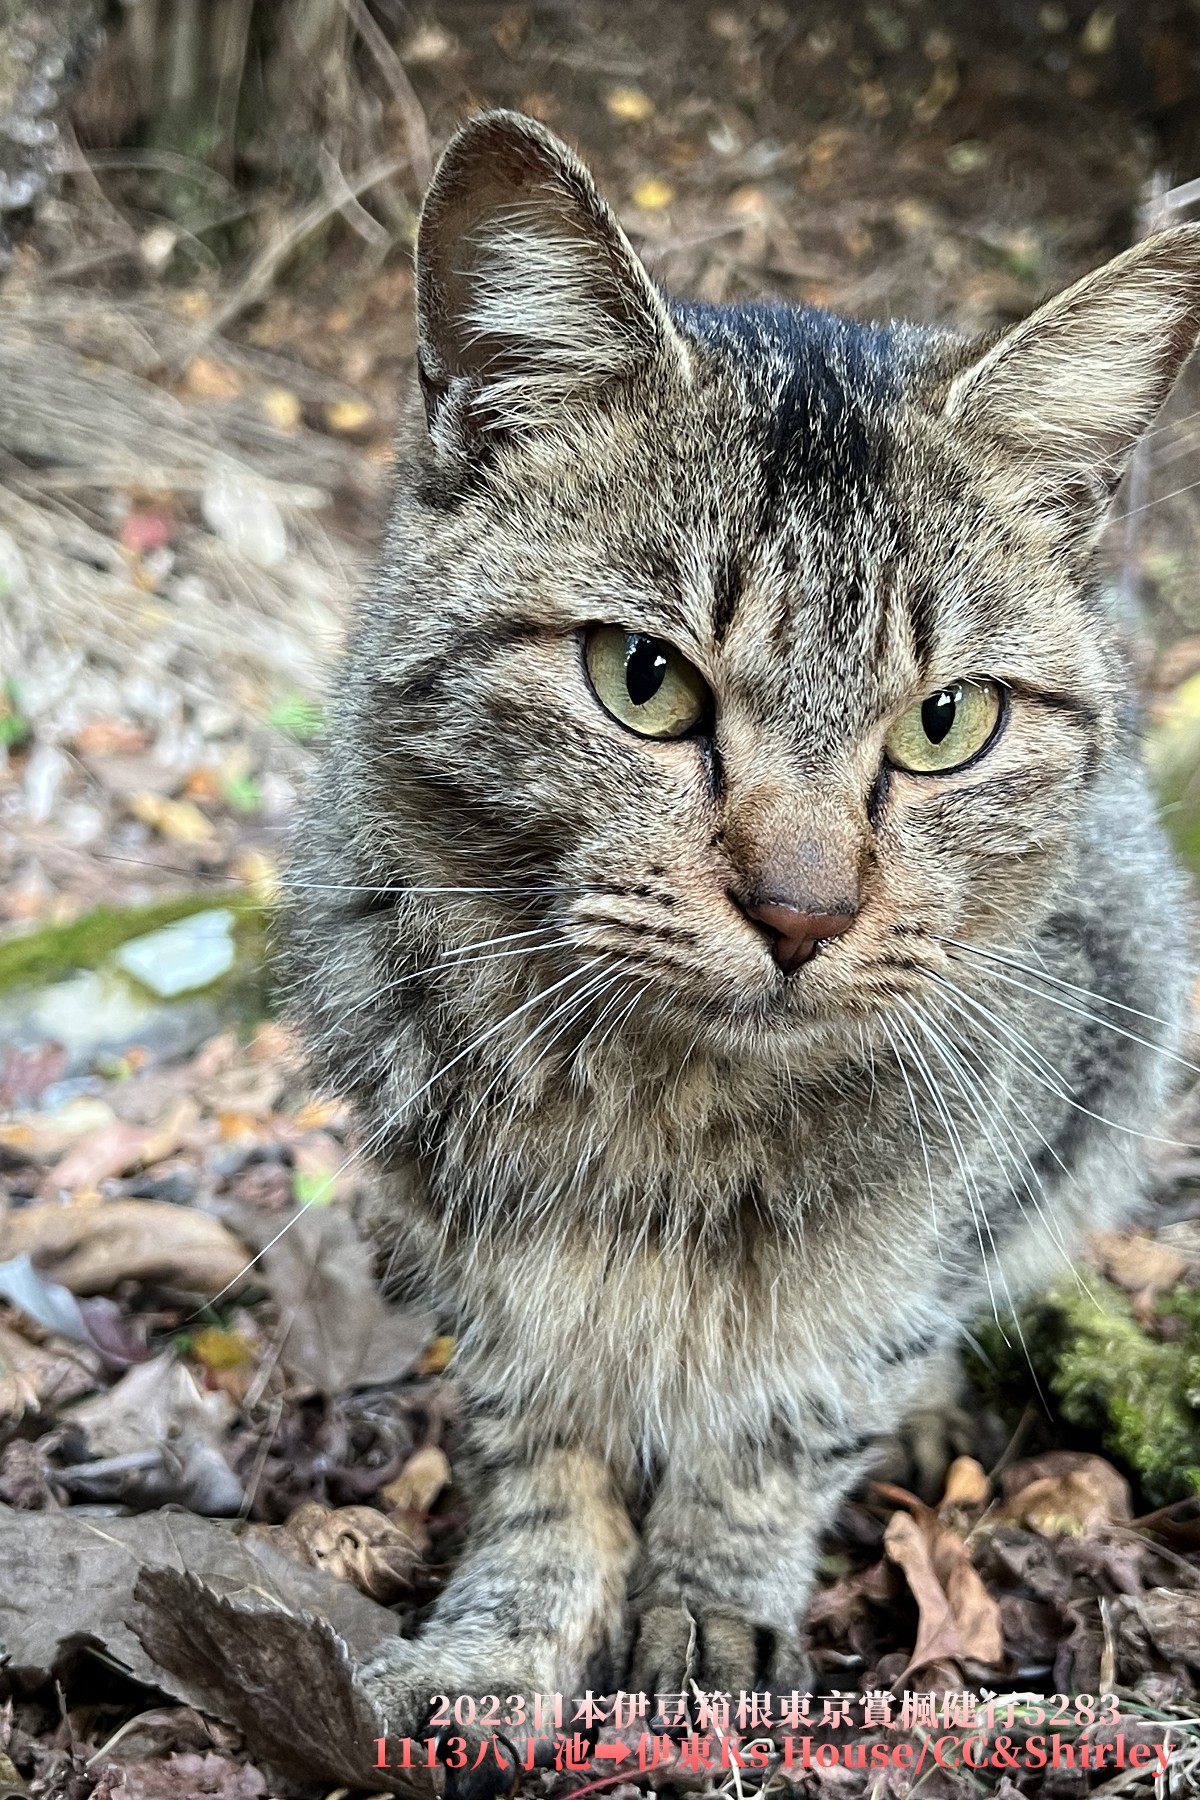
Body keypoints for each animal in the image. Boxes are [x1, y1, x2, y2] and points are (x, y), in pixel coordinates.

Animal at [287, 108, 1200, 1773]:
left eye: (947, 721)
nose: (803, 913)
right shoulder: (452, 1220)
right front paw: (505, 1636)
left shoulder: (985, 1165)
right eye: (640, 679)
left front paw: (711, 1600)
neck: (670, 1107)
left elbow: (797, 1409)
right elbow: (537, 1448)